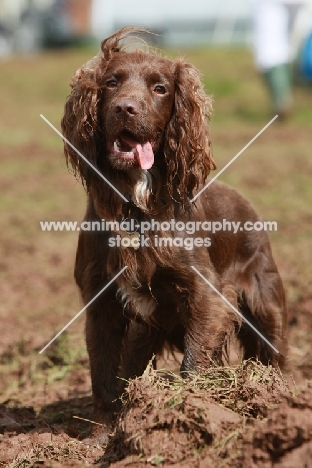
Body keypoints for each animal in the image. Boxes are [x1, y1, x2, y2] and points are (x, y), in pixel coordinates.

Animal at [61, 27, 288, 426]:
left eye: (160, 88)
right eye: (111, 82)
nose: (125, 108)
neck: (135, 203)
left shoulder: (205, 293)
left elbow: (193, 363)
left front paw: (189, 406)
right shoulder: (100, 300)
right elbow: (103, 374)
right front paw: (106, 431)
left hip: (266, 302)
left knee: (272, 351)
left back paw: (276, 396)